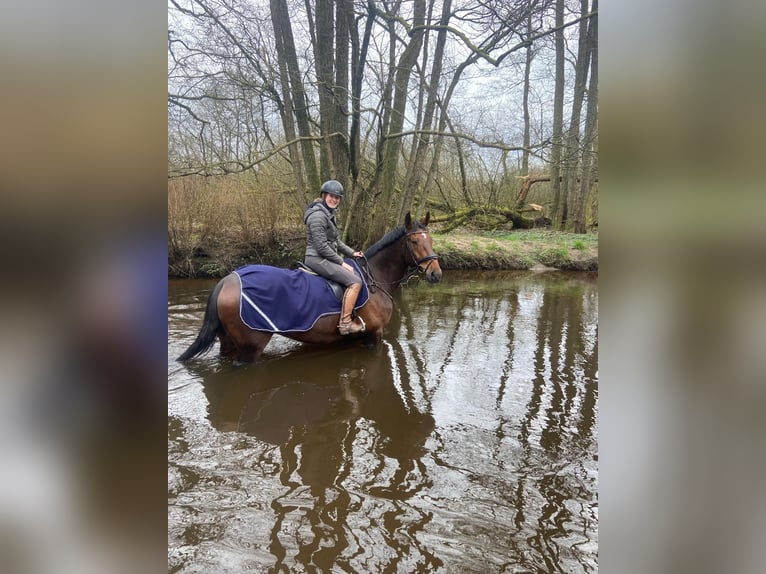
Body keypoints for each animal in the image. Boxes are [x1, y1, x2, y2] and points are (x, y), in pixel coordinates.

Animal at [178, 212, 444, 364]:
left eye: (431, 239)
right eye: (413, 241)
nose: (436, 273)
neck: (376, 278)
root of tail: (228, 280)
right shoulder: (373, 336)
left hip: (228, 342)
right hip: (249, 348)